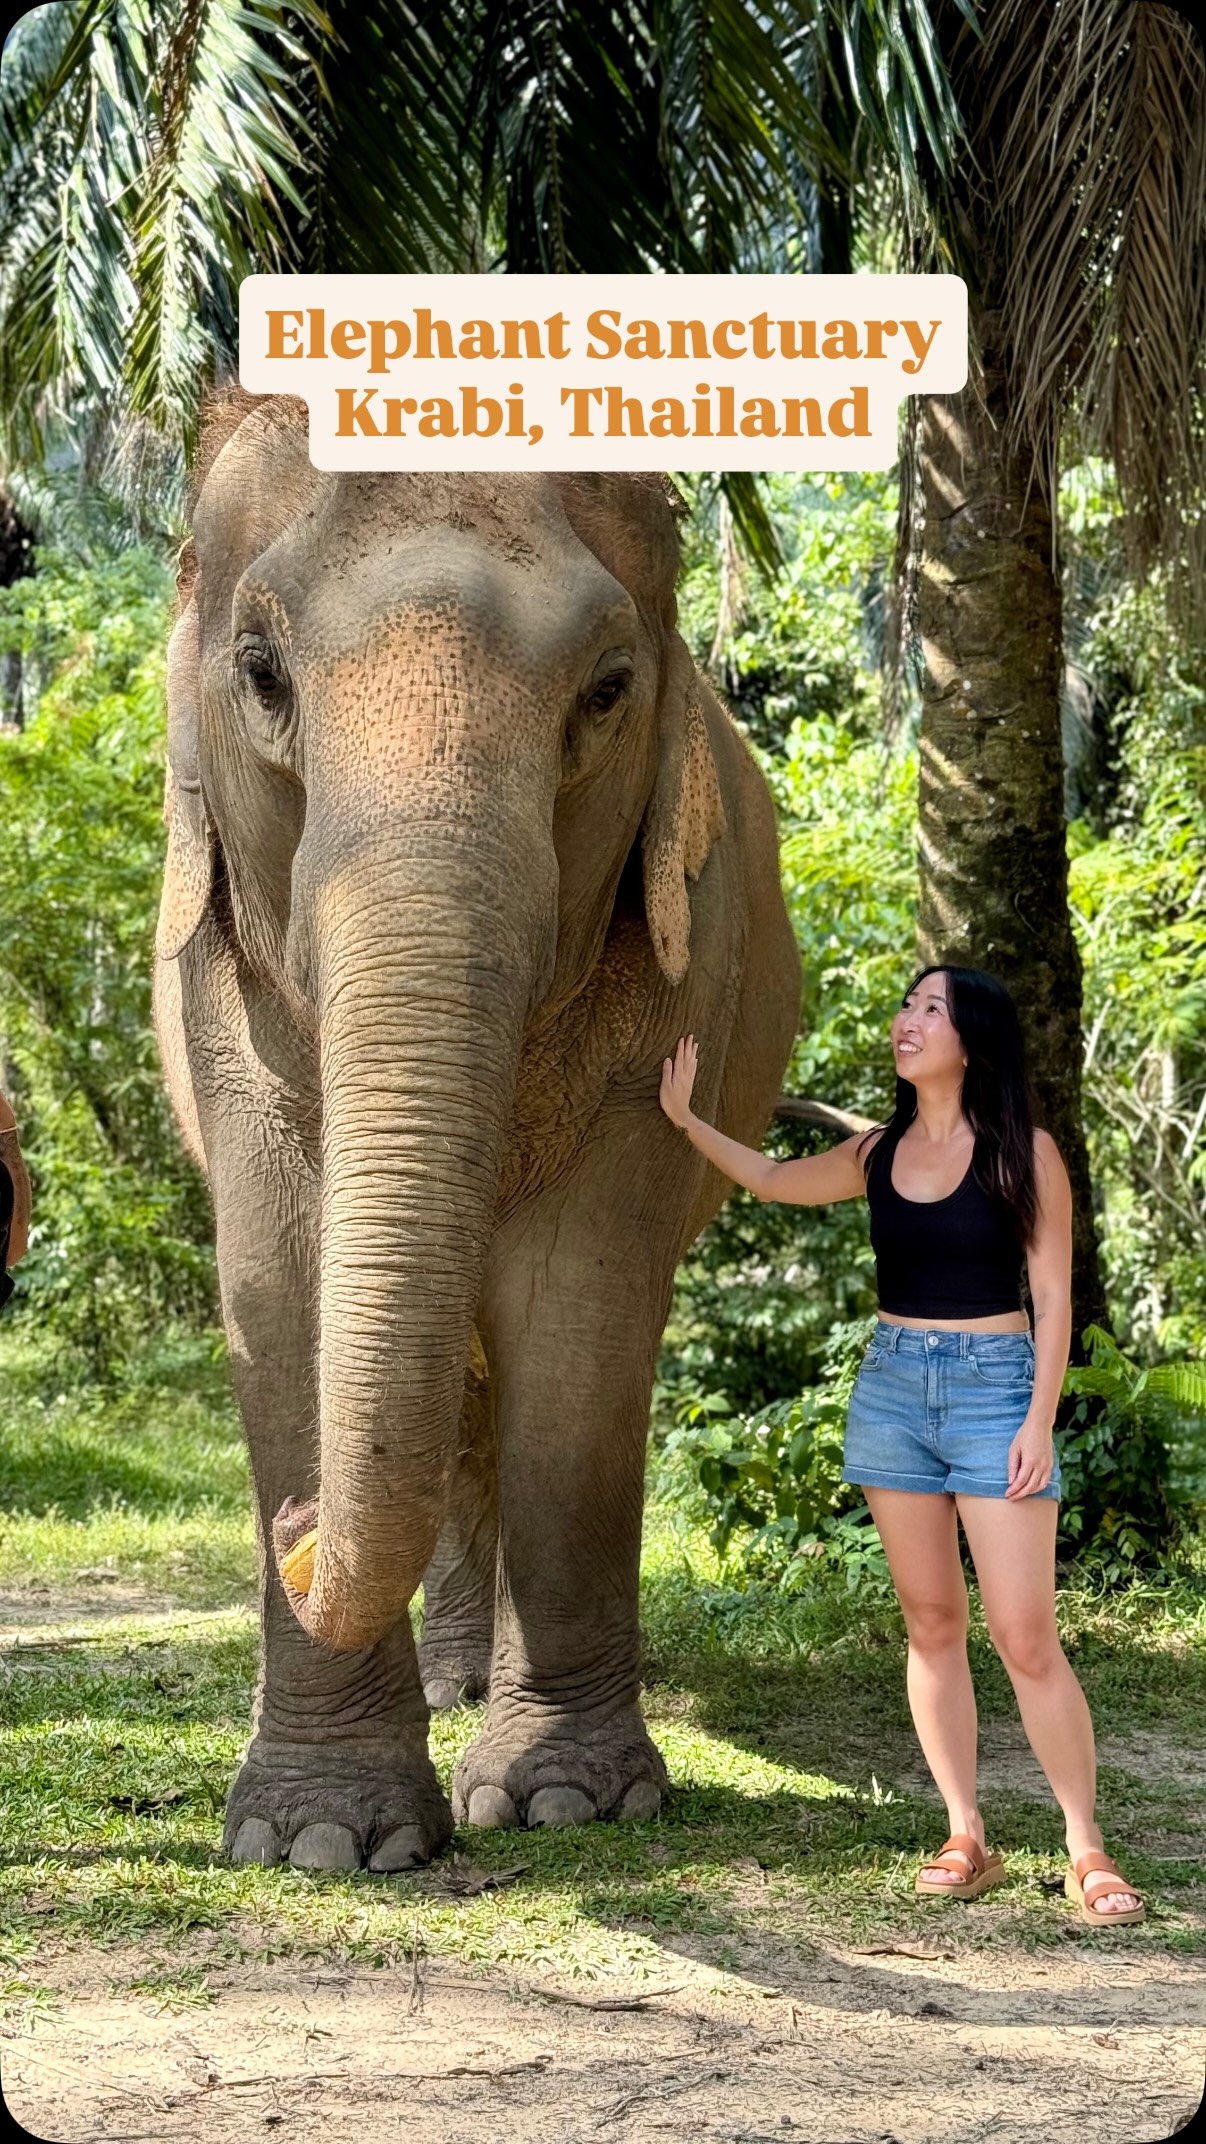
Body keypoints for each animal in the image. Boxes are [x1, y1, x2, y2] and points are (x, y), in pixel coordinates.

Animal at [153, 389, 801, 1871]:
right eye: (261, 674)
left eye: (607, 690)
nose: (292, 1526)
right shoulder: (224, 994)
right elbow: (278, 1289)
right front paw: (322, 1843)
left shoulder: (675, 964)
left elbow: (582, 1320)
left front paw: (569, 1804)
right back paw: (448, 1683)